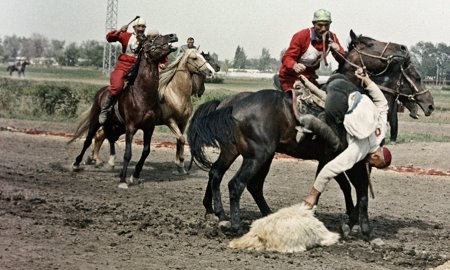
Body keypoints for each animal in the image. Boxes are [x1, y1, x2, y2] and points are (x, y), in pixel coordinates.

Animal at [68, 32, 178, 188]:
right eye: (151, 39)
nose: (172, 35)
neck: (143, 94)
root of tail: (101, 92)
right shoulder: (131, 127)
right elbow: (128, 153)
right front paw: (123, 180)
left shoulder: (149, 128)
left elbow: (146, 151)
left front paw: (135, 176)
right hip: (96, 121)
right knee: (88, 140)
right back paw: (77, 164)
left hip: (118, 127)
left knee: (111, 138)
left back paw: (110, 162)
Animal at [85, 48, 217, 173]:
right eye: (195, 58)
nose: (212, 71)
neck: (176, 94)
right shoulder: (170, 120)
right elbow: (181, 139)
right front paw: (180, 164)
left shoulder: (183, 122)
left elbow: (180, 141)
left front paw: (180, 167)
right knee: (100, 135)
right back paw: (97, 160)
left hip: (119, 124)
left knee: (101, 135)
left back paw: (94, 160)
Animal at [187, 30, 436, 239]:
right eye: (371, 43)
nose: (430, 104)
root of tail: (230, 106)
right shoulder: (342, 159)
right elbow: (353, 188)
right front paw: (355, 224)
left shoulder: (336, 159)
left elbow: (349, 188)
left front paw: (350, 221)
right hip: (257, 155)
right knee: (236, 183)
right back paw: (233, 222)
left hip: (244, 153)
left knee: (223, 175)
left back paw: (228, 213)